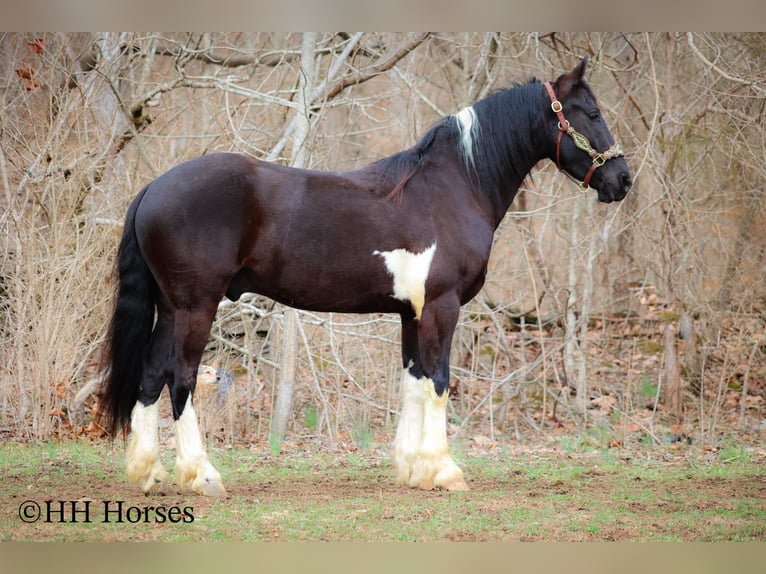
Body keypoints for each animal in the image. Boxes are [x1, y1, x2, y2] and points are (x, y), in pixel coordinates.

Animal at [99, 59, 632, 500]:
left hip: (171, 307)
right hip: (197, 306)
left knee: (151, 375)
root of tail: (154, 187)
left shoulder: (411, 313)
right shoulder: (442, 305)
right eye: (590, 112)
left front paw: (414, 469)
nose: (623, 180)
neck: (452, 188)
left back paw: (149, 473)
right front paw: (445, 470)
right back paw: (203, 475)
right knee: (181, 377)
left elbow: (414, 380)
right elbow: (440, 381)